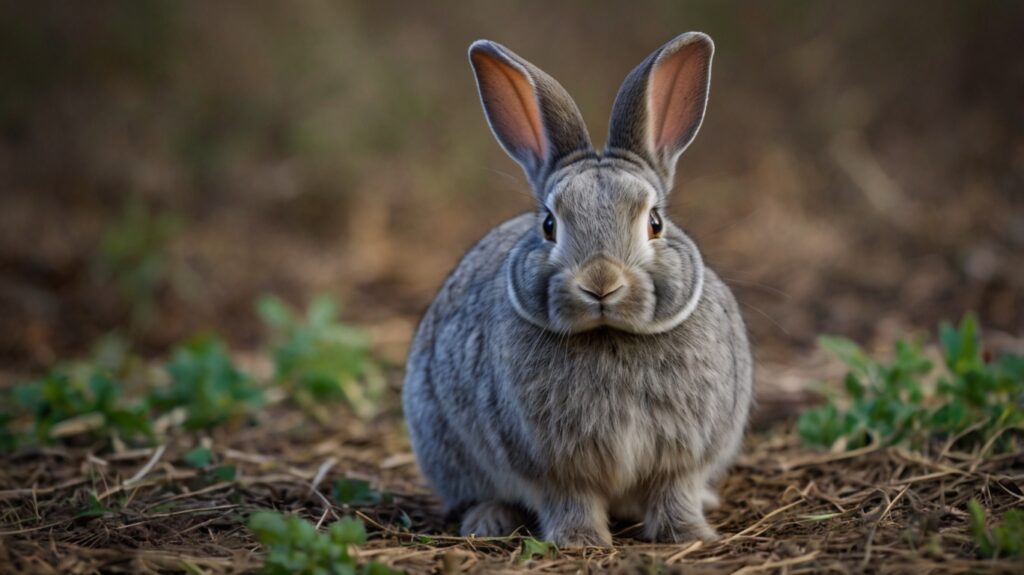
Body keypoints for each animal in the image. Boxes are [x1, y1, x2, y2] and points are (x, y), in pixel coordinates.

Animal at [401, 32, 753, 544]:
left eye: (655, 222)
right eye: (549, 225)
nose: (601, 283)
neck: (609, 337)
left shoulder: (685, 454)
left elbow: (676, 491)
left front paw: (689, 535)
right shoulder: (551, 465)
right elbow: (571, 499)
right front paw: (580, 540)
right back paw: (489, 521)